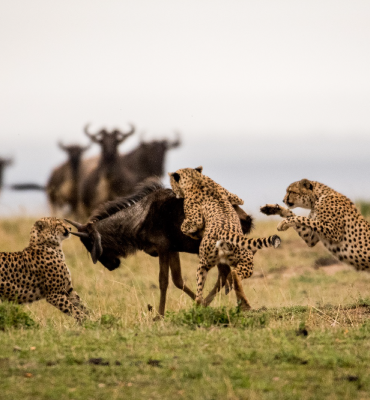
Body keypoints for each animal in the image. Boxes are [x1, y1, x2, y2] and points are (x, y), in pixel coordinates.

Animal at [168, 167, 280, 308]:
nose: (174, 192)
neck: (195, 178)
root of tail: (224, 232)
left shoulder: (194, 219)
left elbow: (185, 227)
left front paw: (193, 234)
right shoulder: (235, 197)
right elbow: (239, 200)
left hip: (204, 262)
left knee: (203, 284)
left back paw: (199, 302)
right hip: (245, 262)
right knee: (234, 273)